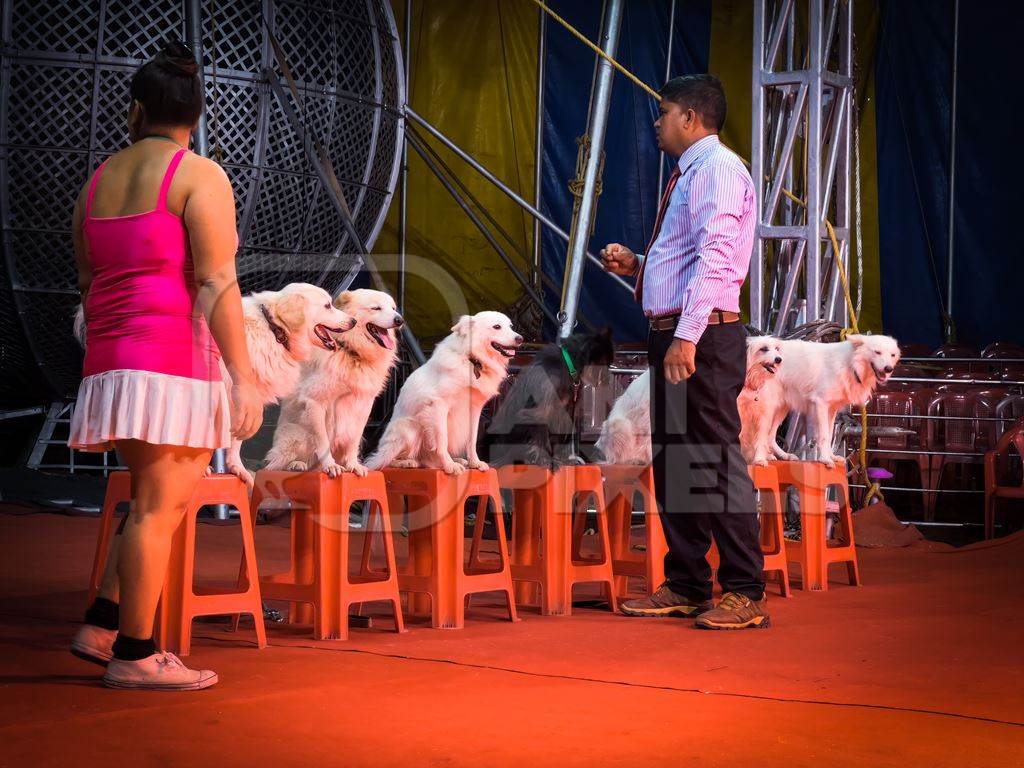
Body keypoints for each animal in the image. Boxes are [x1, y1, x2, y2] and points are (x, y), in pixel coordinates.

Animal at [264, 288, 403, 479]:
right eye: (376, 308)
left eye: (393, 308)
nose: (400, 320)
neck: (351, 351)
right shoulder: (315, 402)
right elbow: (322, 442)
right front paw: (330, 466)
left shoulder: (363, 406)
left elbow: (353, 440)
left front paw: (353, 465)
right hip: (297, 435)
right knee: (277, 464)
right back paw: (297, 465)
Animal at [366, 313, 520, 475]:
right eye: (497, 327)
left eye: (510, 327)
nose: (520, 338)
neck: (471, 360)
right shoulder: (438, 405)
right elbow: (441, 440)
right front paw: (449, 466)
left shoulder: (475, 410)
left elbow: (472, 440)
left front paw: (474, 463)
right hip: (409, 428)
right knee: (384, 461)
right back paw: (407, 462)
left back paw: (457, 460)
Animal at [593, 337, 782, 468]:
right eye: (763, 349)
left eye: (776, 349)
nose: (779, 359)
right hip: (619, 425)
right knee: (618, 458)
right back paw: (634, 459)